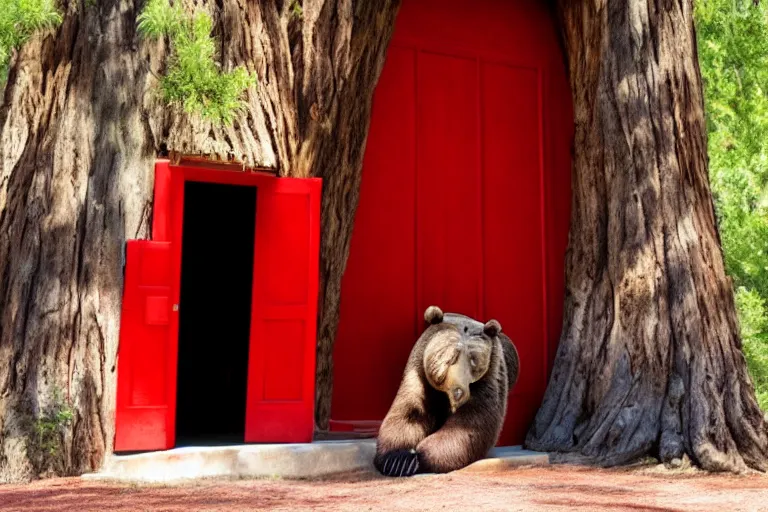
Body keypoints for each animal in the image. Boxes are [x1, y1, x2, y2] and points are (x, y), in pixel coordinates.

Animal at [374, 304, 520, 476]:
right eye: (451, 358)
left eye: (473, 361)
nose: (459, 392)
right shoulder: (418, 373)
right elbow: (409, 413)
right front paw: (399, 460)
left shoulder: (488, 378)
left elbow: (470, 423)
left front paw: (419, 458)